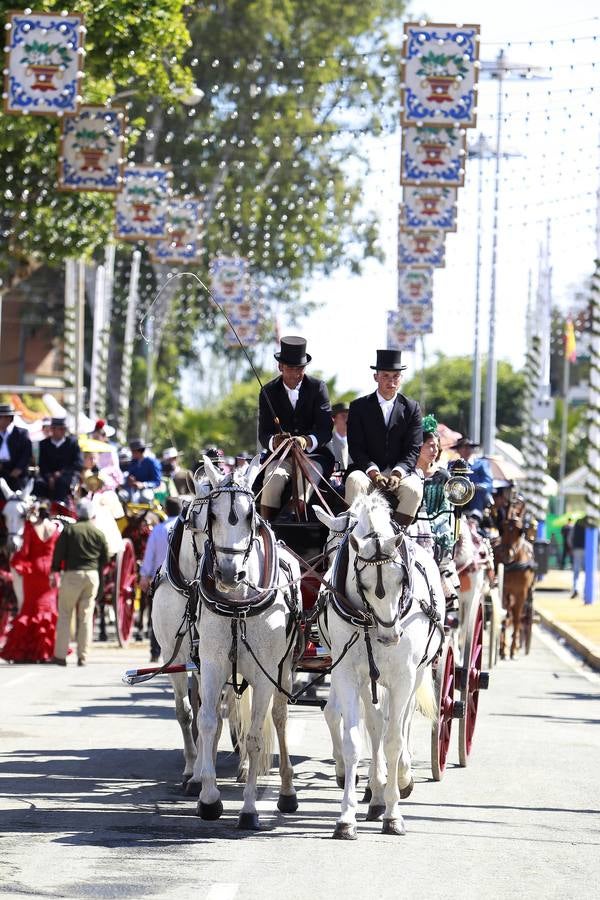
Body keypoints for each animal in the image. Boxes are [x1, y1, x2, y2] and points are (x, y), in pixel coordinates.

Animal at [316, 488, 442, 840]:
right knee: (375, 724)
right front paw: (346, 818)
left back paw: (401, 778)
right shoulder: (347, 673)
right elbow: (354, 740)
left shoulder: (403, 676)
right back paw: (375, 794)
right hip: (369, 680)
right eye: (363, 583)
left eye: (402, 579)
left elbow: (395, 739)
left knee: (403, 722)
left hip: (418, 673)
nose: (390, 635)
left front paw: (394, 813)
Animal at [494, 496, 536, 656]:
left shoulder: (521, 592)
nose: (507, 555)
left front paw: (512, 649)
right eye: (503, 528)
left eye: (520, 530)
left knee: (518, 617)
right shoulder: (505, 590)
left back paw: (517, 644)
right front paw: (502, 647)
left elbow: (517, 619)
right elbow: (504, 617)